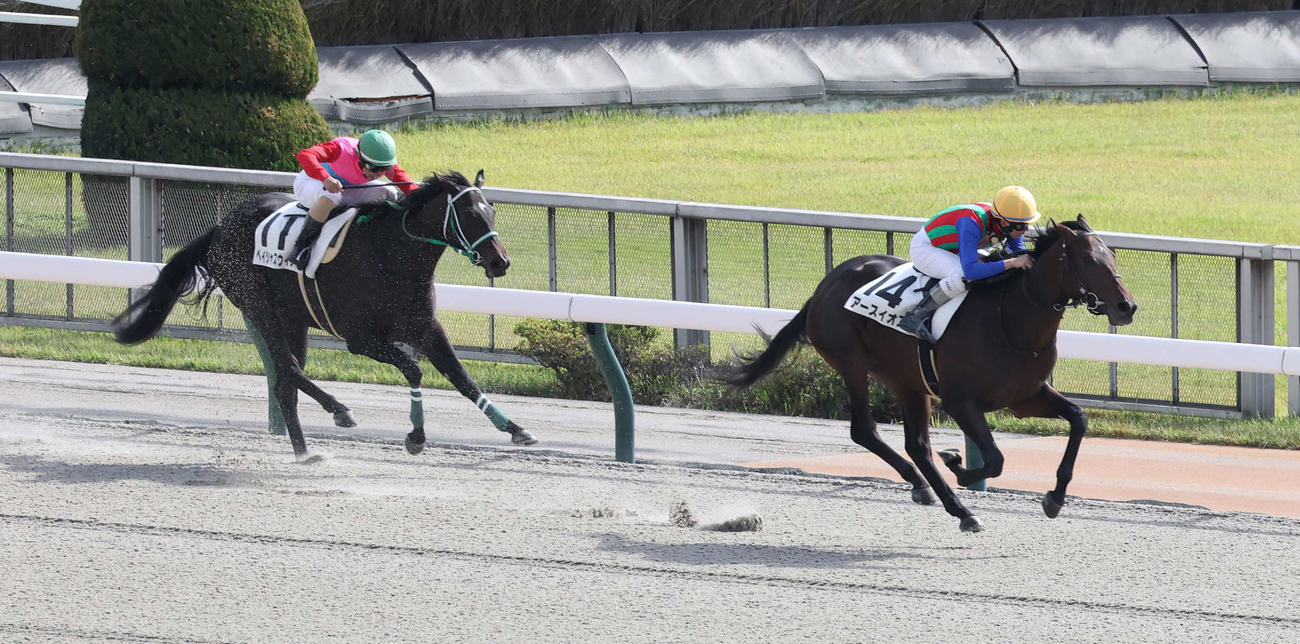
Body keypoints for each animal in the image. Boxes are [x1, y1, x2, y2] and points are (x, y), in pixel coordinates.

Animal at [111, 170, 538, 459]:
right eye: (469, 214)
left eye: (491, 211)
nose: (500, 262)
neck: (392, 256)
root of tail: (219, 228)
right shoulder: (360, 339)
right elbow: (414, 370)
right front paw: (415, 438)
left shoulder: (426, 328)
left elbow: (461, 377)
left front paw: (516, 429)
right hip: (258, 307)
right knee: (286, 370)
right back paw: (337, 413)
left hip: (292, 318)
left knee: (285, 381)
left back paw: (304, 450)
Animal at [722, 216, 1136, 532]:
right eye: (1088, 258)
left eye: (1112, 255)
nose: (1126, 306)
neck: (1010, 320)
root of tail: (824, 286)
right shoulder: (960, 401)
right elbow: (996, 459)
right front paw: (959, 465)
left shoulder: (1025, 397)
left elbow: (1078, 419)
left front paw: (1054, 498)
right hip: (852, 363)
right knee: (865, 431)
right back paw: (954, 503)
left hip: (907, 380)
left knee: (916, 445)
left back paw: (937, 495)